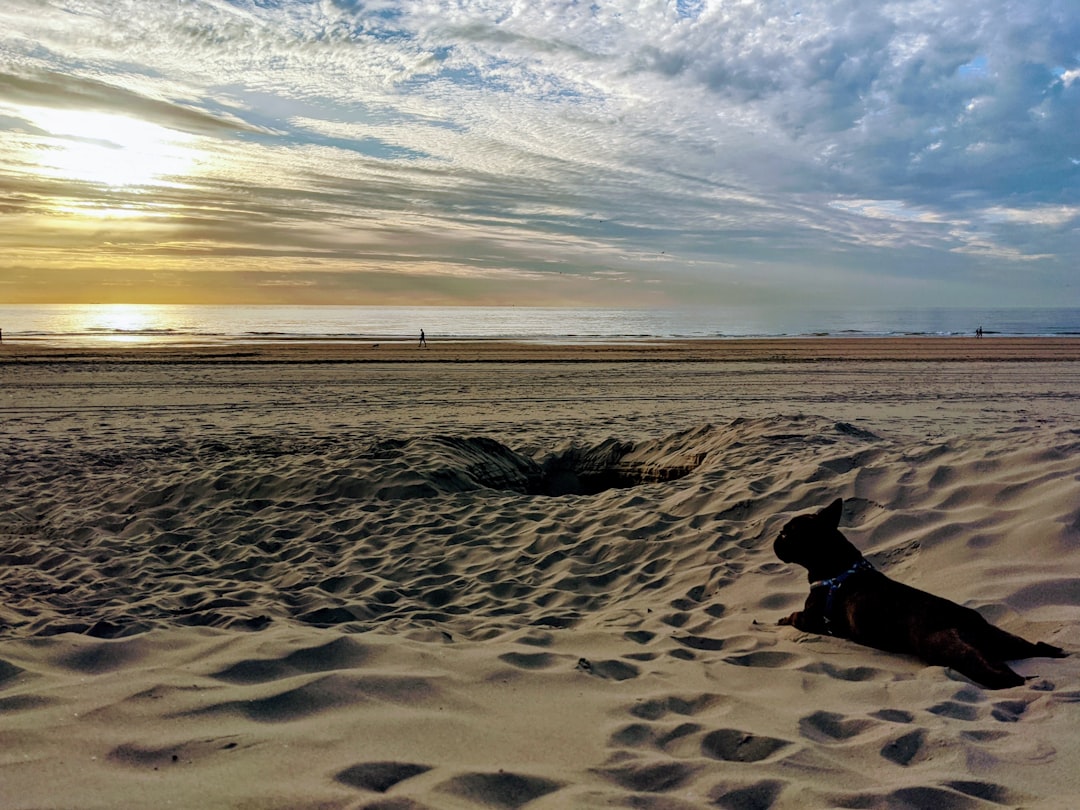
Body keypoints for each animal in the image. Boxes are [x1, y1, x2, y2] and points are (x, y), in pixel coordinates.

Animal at [773, 501, 1067, 691]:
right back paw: (1054, 652)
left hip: (944, 646)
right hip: (1001, 638)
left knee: (993, 671)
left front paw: (780, 619)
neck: (837, 566)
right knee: (1030, 647)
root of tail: (965, 618)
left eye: (787, 533)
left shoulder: (810, 618)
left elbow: (793, 616)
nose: (776, 537)